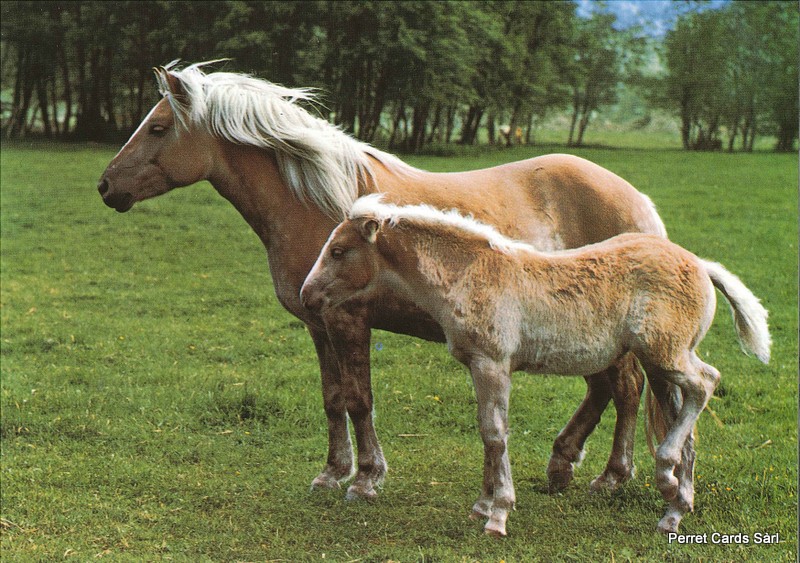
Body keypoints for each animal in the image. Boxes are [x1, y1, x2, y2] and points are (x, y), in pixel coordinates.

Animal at [97, 60, 668, 502]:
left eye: (157, 128)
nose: (105, 187)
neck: (317, 203)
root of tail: (636, 200)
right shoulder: (318, 323)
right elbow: (333, 398)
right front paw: (331, 474)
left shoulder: (348, 320)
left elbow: (359, 399)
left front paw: (367, 479)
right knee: (605, 387)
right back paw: (561, 466)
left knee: (626, 387)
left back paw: (610, 478)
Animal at [300, 195, 770, 537]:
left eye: (338, 250)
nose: (306, 297)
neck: (470, 274)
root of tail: (700, 265)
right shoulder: (478, 366)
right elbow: (487, 432)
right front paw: (483, 505)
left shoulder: (493, 364)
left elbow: (494, 433)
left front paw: (498, 514)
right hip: (660, 365)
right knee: (683, 417)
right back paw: (675, 508)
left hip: (665, 354)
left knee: (706, 382)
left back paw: (668, 479)